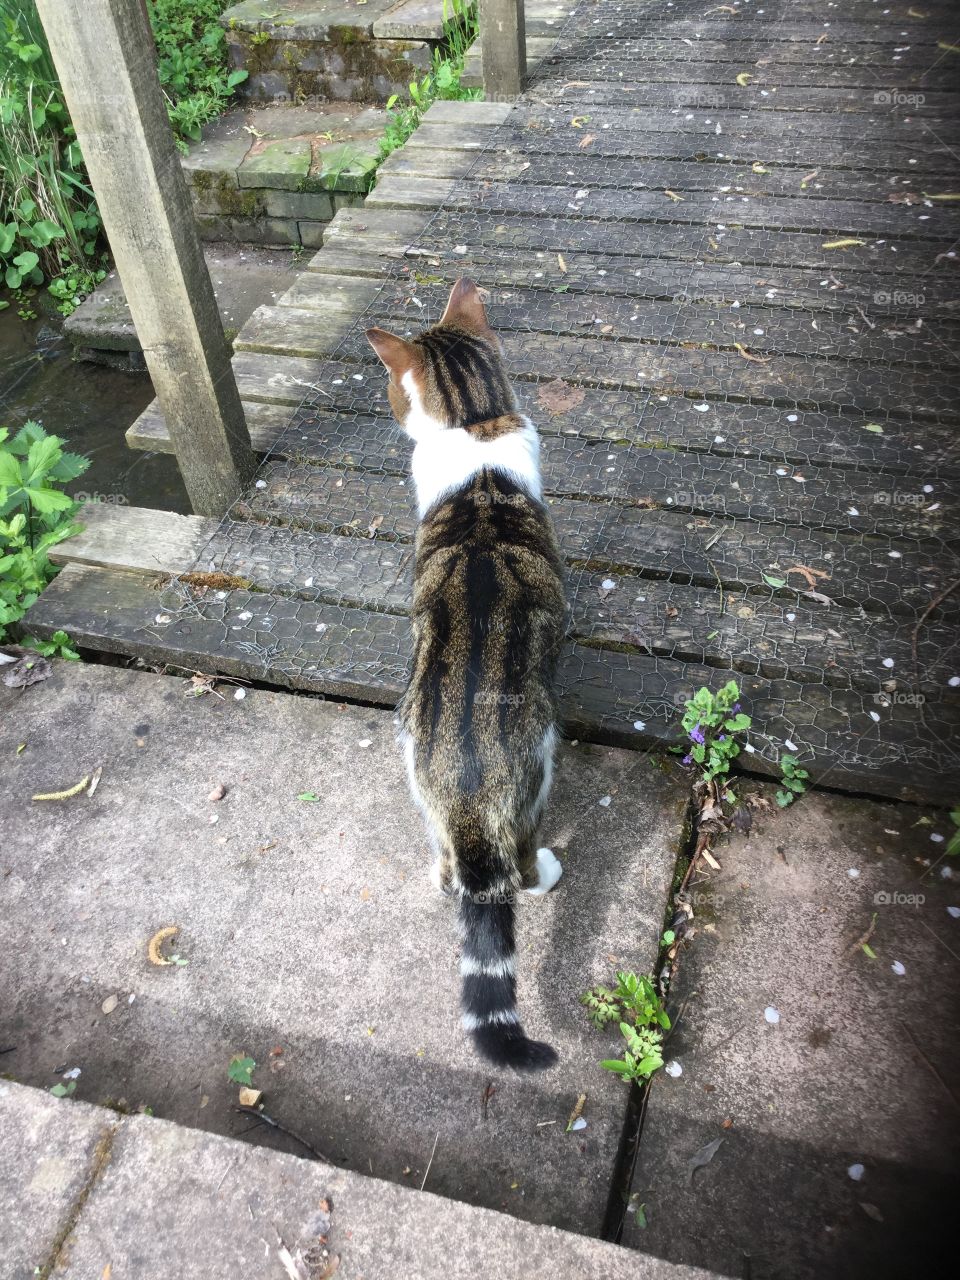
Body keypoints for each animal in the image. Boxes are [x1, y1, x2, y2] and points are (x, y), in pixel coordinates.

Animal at [363, 280, 568, 1070]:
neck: (476, 428)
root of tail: (469, 794)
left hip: (411, 762)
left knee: (451, 868)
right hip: (541, 765)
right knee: (521, 866)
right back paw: (546, 870)